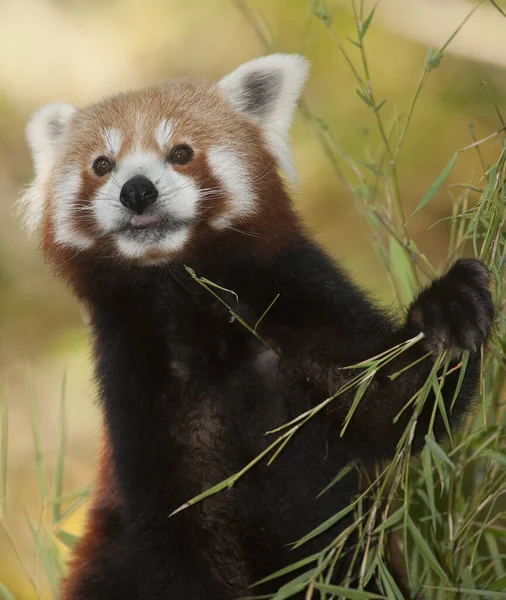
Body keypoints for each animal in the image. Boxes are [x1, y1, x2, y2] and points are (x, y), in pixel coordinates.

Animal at [21, 54, 492, 596]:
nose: (137, 191)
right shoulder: (137, 391)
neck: (188, 309)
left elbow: (394, 403)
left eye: (180, 153)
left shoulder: (295, 305)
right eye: (102, 164)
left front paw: (449, 311)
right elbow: (180, 535)